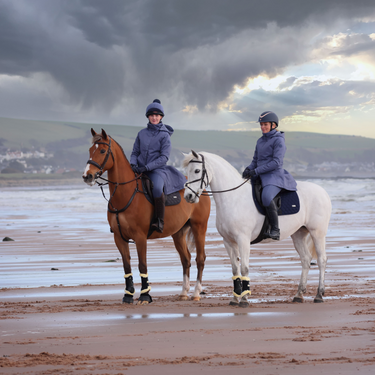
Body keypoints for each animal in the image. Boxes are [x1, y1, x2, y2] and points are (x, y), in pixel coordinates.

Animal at [83, 129, 212, 306]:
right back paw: (184, 293)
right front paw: (128, 295)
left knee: (200, 259)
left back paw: (196, 293)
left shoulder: (140, 237)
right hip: (178, 233)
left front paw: (145, 296)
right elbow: (126, 266)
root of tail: (200, 188)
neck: (126, 194)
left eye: (102, 151)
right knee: (186, 259)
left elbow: (142, 265)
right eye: (90, 150)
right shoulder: (119, 238)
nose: (87, 176)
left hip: (199, 227)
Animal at [183, 151, 332, 306]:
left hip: (317, 233)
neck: (233, 198)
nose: (188, 196)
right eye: (187, 171)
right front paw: (235, 298)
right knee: (306, 259)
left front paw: (244, 299)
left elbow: (244, 268)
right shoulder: (228, 241)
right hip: (299, 234)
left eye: (197, 170)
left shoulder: (243, 240)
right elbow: (235, 269)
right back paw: (299, 295)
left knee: (321, 260)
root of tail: (323, 192)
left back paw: (319, 295)